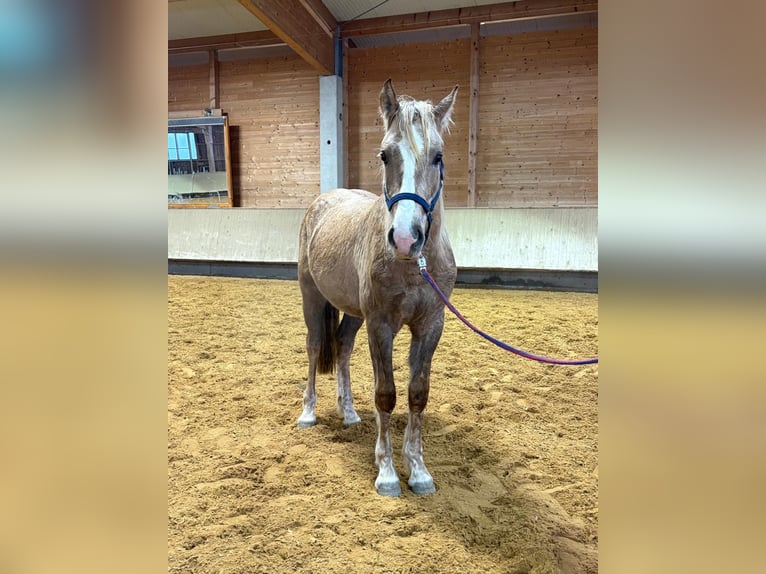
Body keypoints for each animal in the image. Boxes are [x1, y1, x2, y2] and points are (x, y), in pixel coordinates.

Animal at [296, 79, 458, 496]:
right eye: (385, 155)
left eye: (438, 157)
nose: (405, 238)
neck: (412, 267)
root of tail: (325, 200)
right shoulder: (381, 325)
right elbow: (386, 394)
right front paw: (386, 472)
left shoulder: (430, 325)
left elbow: (417, 393)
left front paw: (418, 470)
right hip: (311, 297)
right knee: (315, 346)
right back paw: (308, 412)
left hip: (354, 314)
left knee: (342, 347)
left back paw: (350, 412)